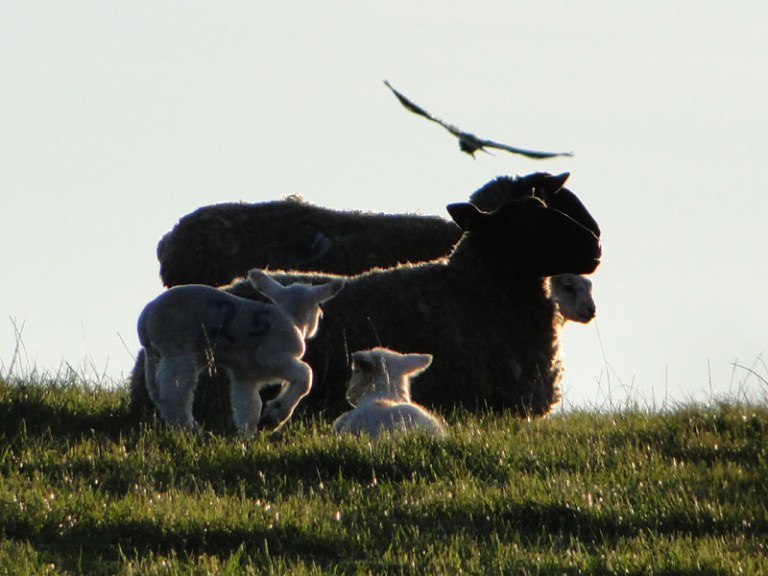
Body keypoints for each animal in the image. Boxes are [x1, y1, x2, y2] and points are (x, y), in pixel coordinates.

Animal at [137, 268, 344, 433]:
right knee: (174, 394)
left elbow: (248, 405)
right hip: (178, 349)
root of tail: (146, 315)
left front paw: (249, 438)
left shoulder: (245, 376)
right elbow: (305, 375)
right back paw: (189, 430)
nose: (315, 326)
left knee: (164, 393)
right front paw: (274, 417)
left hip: (165, 353)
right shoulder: (272, 357)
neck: (291, 316)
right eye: (317, 309)